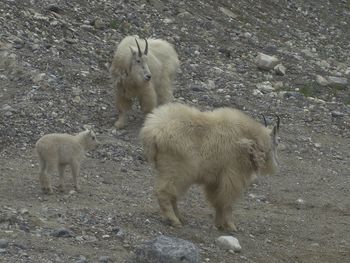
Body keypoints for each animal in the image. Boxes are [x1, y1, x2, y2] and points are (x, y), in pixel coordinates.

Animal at [141, 103, 280, 231]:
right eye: (277, 142)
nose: (276, 165)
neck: (250, 139)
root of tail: (152, 133)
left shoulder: (216, 180)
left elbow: (217, 201)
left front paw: (219, 224)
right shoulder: (233, 175)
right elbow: (227, 202)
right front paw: (231, 226)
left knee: (172, 194)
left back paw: (179, 217)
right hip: (176, 170)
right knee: (164, 192)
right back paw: (174, 220)